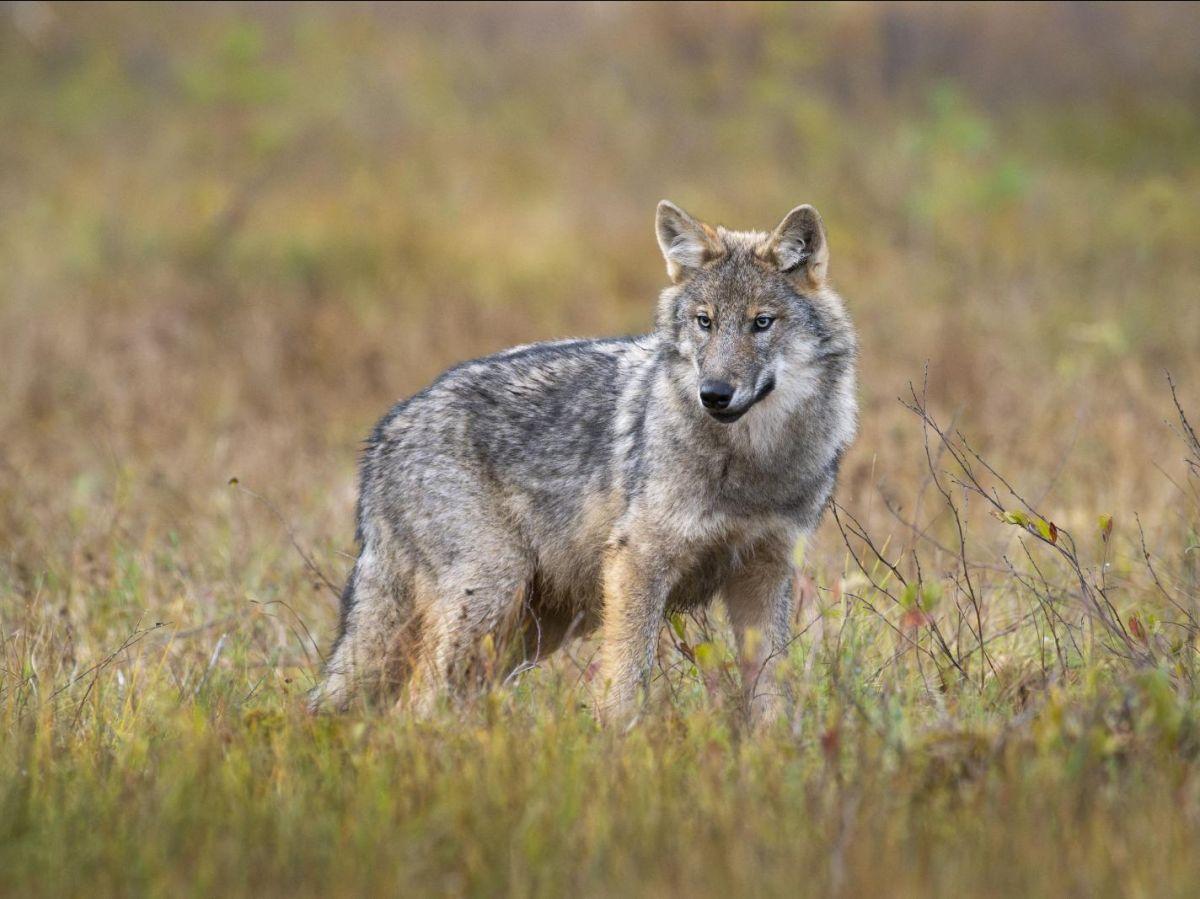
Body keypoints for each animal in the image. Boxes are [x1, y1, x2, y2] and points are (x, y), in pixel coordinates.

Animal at [310, 200, 858, 725]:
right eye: (705, 322)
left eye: (761, 322)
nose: (714, 395)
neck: (753, 463)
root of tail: (384, 433)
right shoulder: (638, 563)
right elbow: (626, 681)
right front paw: (617, 743)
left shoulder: (766, 574)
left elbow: (772, 696)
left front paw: (774, 748)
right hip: (491, 593)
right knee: (413, 706)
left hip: (528, 630)